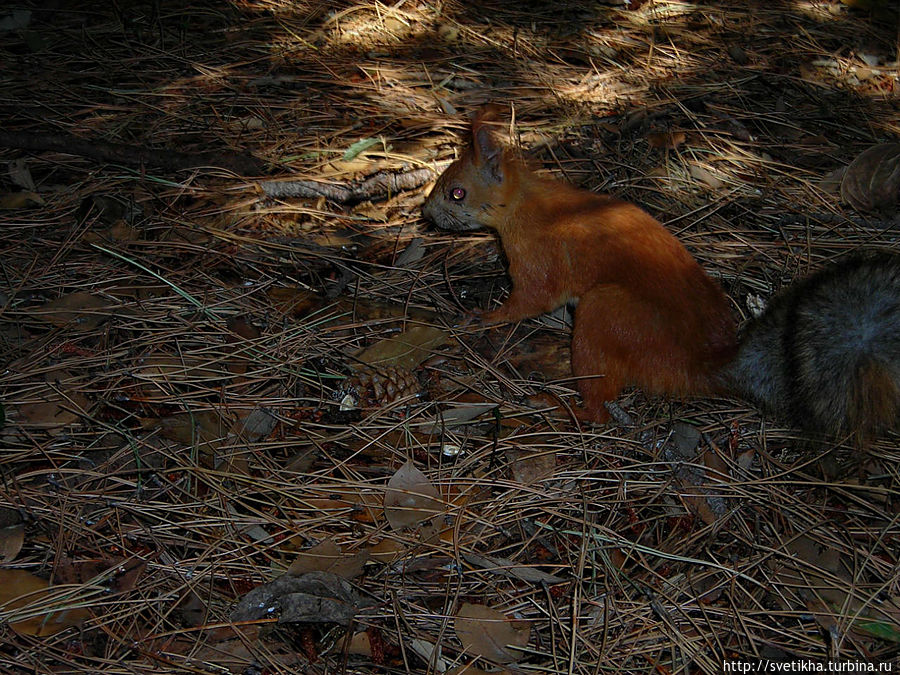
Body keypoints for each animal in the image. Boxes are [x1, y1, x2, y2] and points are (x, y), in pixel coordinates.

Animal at [422, 108, 900, 440]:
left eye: (457, 192)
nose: (425, 214)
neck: (527, 203)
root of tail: (693, 366)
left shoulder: (538, 260)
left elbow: (529, 300)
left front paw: (482, 317)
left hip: (604, 313)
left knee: (601, 406)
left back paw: (562, 407)